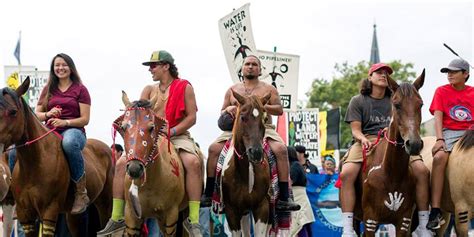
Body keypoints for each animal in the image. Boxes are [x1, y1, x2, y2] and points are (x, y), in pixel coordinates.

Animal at [0, 78, 113, 235]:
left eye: (13, 112)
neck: (36, 162)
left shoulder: (49, 210)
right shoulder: (25, 214)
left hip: (105, 202)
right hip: (73, 215)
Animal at [220, 90, 272, 236]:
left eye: (265, 119)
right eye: (243, 117)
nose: (256, 152)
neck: (245, 172)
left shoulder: (262, 207)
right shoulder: (231, 211)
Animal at [356, 70, 426, 235]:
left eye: (420, 104)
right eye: (397, 105)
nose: (414, 144)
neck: (391, 173)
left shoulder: (404, 221)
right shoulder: (370, 220)